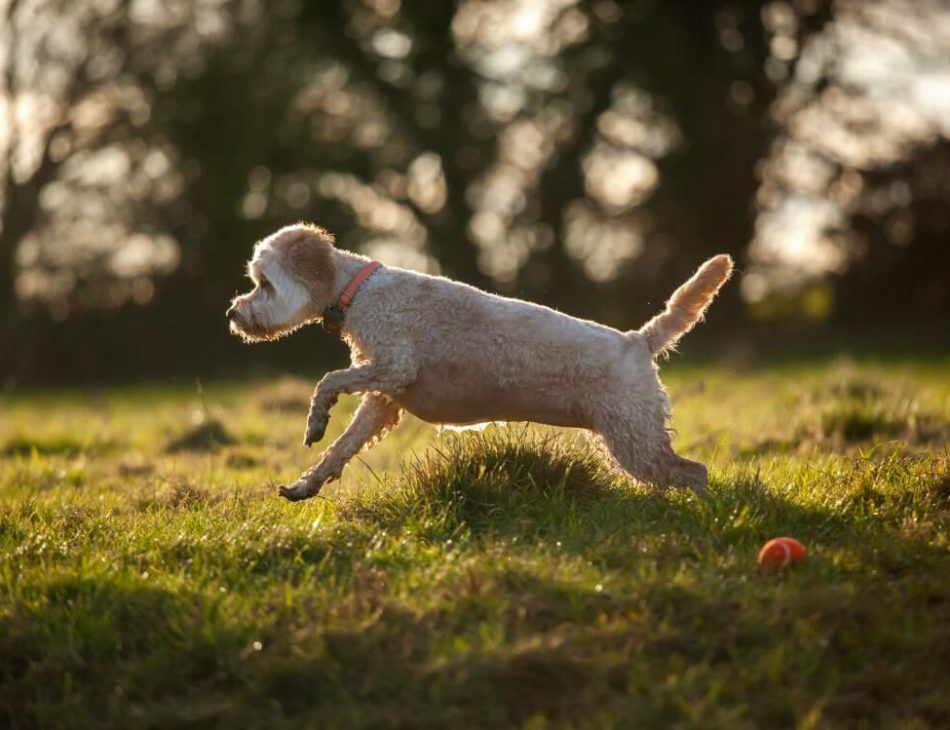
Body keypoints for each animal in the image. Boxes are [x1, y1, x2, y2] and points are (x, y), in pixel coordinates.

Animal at [229, 223, 736, 500]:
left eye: (264, 283)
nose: (234, 314)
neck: (360, 293)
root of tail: (637, 341)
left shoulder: (396, 366)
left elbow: (329, 380)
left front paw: (315, 418)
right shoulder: (383, 399)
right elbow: (341, 448)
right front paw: (307, 483)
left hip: (635, 442)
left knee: (694, 471)